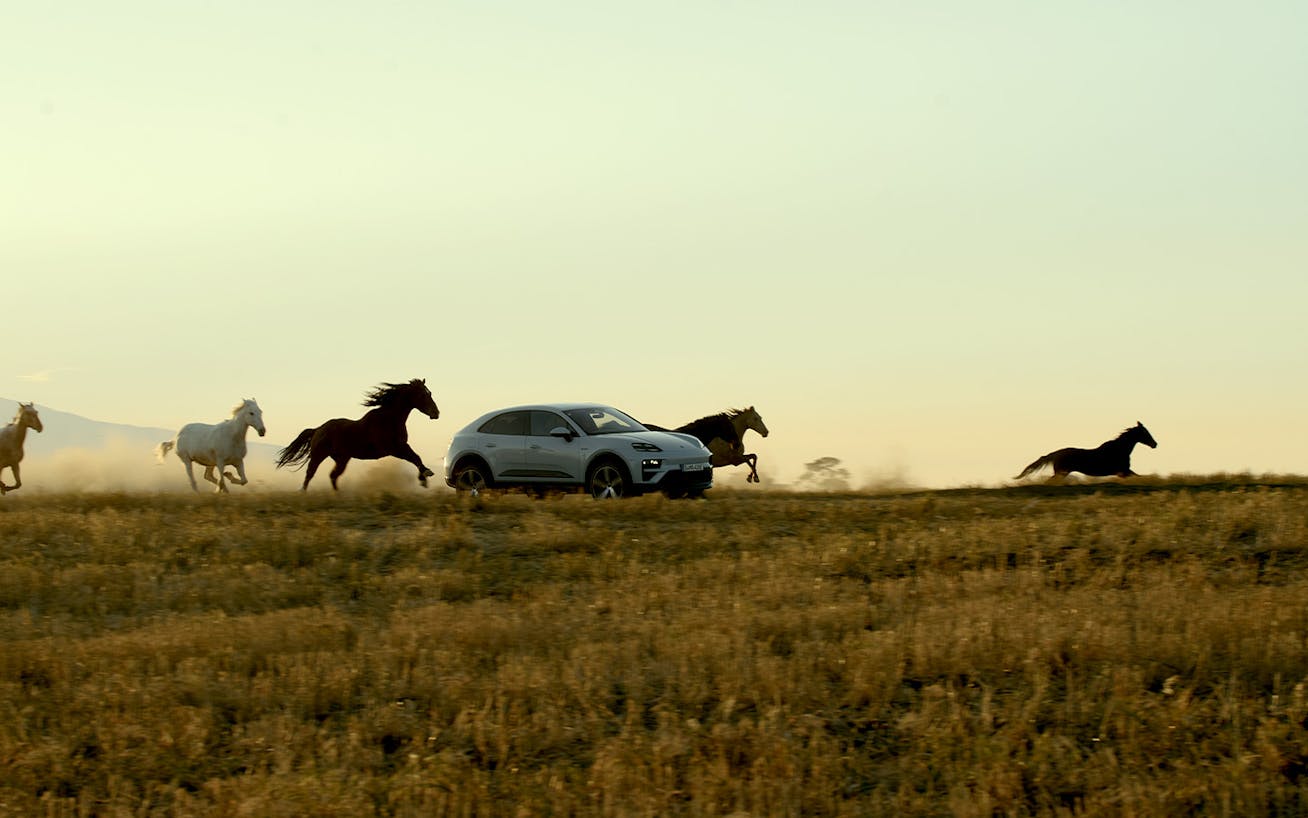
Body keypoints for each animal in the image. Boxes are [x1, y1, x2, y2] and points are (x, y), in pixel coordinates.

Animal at [274, 376, 439, 486]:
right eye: (423, 395)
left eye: (429, 393)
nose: (436, 413)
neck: (389, 419)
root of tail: (318, 429)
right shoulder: (392, 448)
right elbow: (414, 457)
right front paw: (425, 476)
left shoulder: (401, 445)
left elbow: (416, 456)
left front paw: (424, 477)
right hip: (319, 455)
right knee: (310, 474)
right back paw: (304, 494)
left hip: (341, 459)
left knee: (333, 476)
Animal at [1015, 421, 1161, 479]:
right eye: (1145, 432)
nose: (1155, 444)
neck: (1119, 450)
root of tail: (1056, 453)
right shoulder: (1123, 471)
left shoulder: (1123, 472)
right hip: (1061, 472)